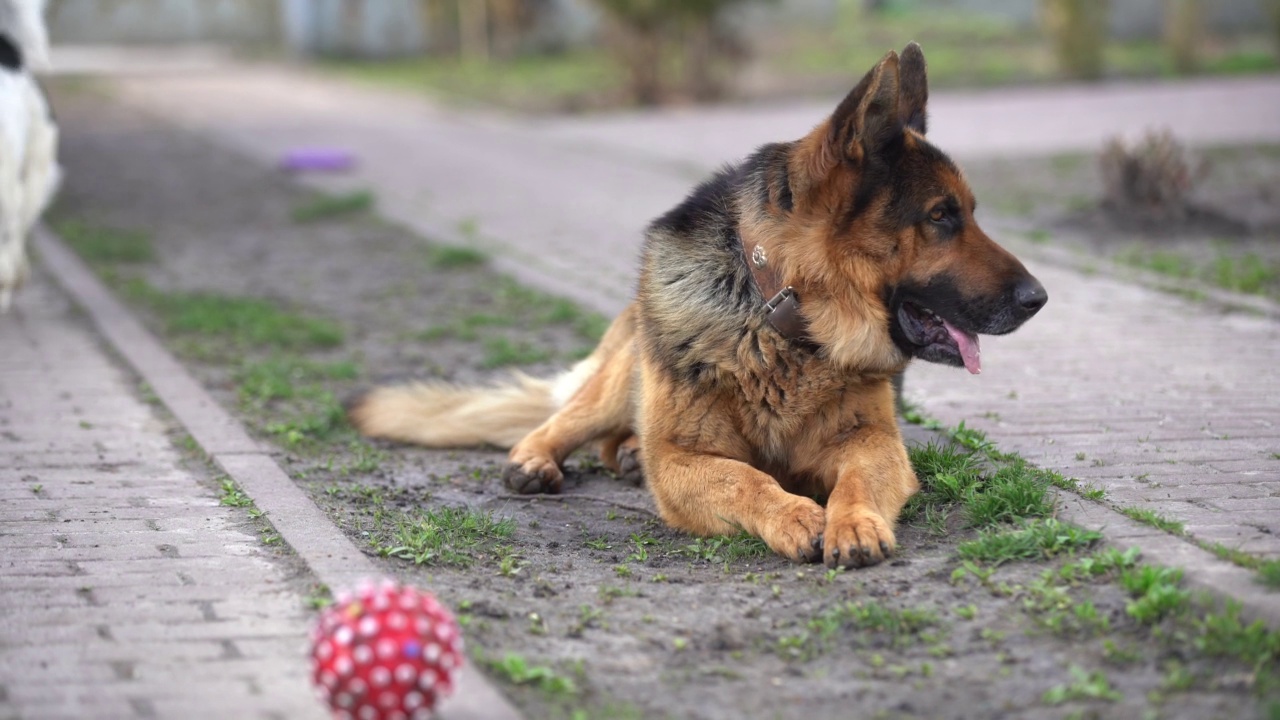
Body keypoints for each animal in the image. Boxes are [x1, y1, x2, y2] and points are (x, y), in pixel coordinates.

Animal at [348, 44, 1039, 568]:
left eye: (967, 213)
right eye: (941, 217)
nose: (1040, 298)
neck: (778, 320)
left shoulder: (873, 442)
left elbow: (858, 480)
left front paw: (855, 522)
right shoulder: (682, 460)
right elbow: (742, 476)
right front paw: (796, 515)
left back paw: (627, 454)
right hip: (622, 374)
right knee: (569, 420)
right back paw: (538, 458)